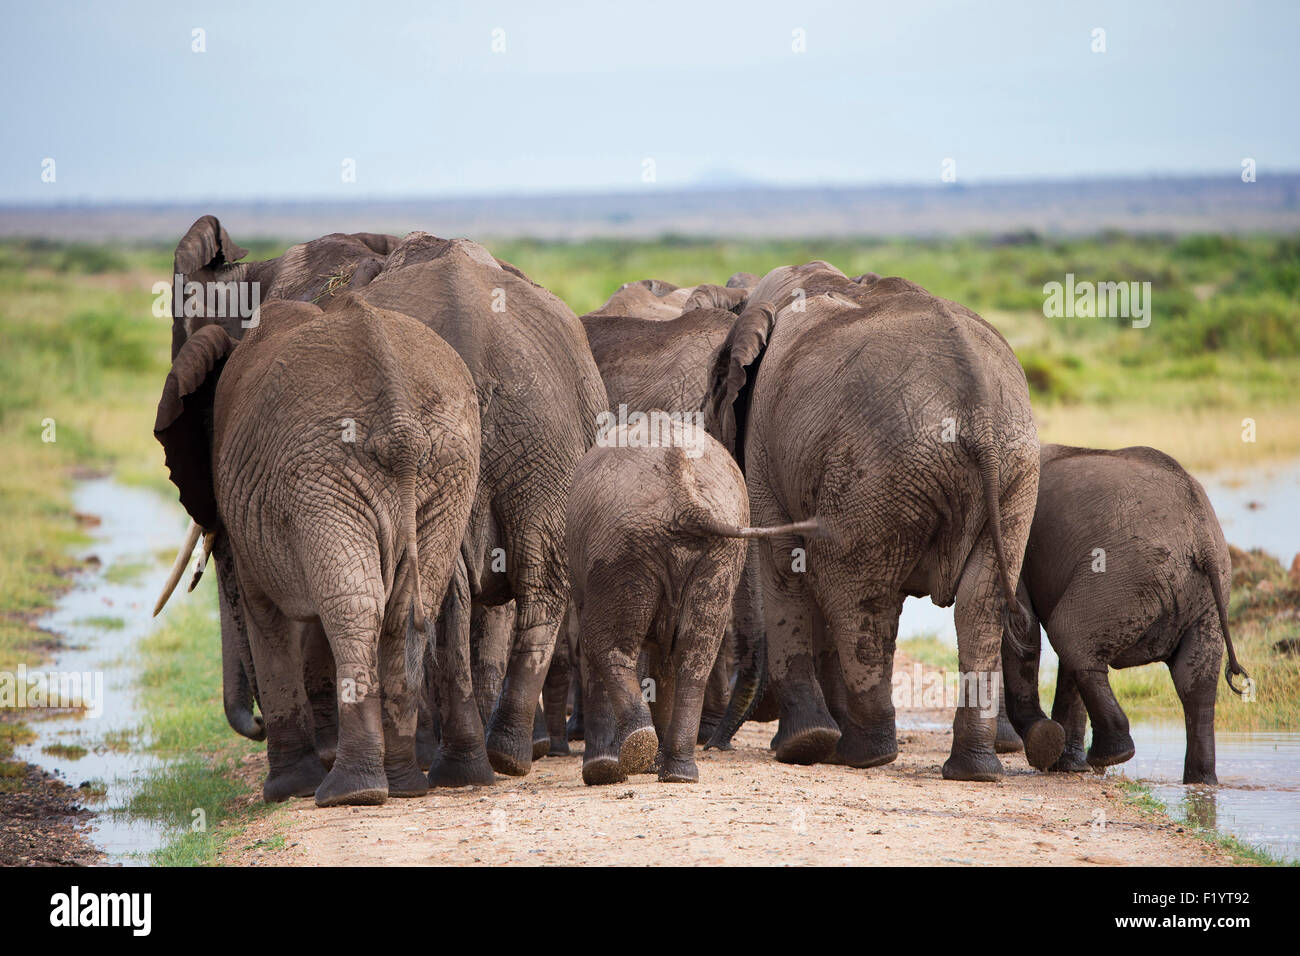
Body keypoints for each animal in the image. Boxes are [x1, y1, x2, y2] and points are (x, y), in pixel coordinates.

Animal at [569, 413, 811, 785]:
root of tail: (684, 492)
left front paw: (609, 770)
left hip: (622, 547)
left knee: (607, 646)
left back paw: (640, 750)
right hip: (716, 550)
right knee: (694, 653)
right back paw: (678, 773)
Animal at [702, 260, 1034, 780]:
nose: (715, 746)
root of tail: (976, 411)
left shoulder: (764, 441)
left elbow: (785, 564)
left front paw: (801, 746)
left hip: (875, 471)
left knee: (861, 600)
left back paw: (861, 754)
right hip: (1013, 473)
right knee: (980, 607)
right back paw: (973, 769)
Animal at [998, 444, 1253, 780]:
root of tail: (1202, 537)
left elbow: (1021, 628)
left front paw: (1057, 758)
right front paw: (1068, 765)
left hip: (1130, 574)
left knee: (1069, 634)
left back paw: (1111, 756)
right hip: (1208, 594)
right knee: (1195, 682)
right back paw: (1200, 780)